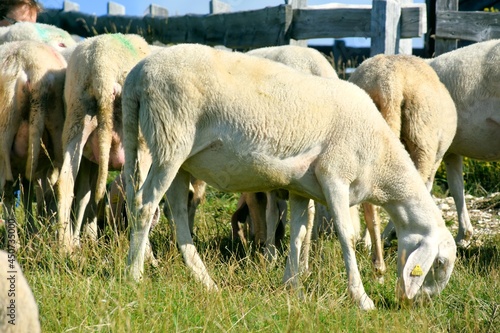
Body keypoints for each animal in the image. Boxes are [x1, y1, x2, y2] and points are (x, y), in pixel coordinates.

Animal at [56, 34, 150, 252]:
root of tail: (102, 69)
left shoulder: (90, 161)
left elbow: (85, 197)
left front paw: (85, 238)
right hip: (137, 138)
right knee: (138, 194)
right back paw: (147, 254)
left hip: (77, 118)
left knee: (65, 182)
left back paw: (65, 248)